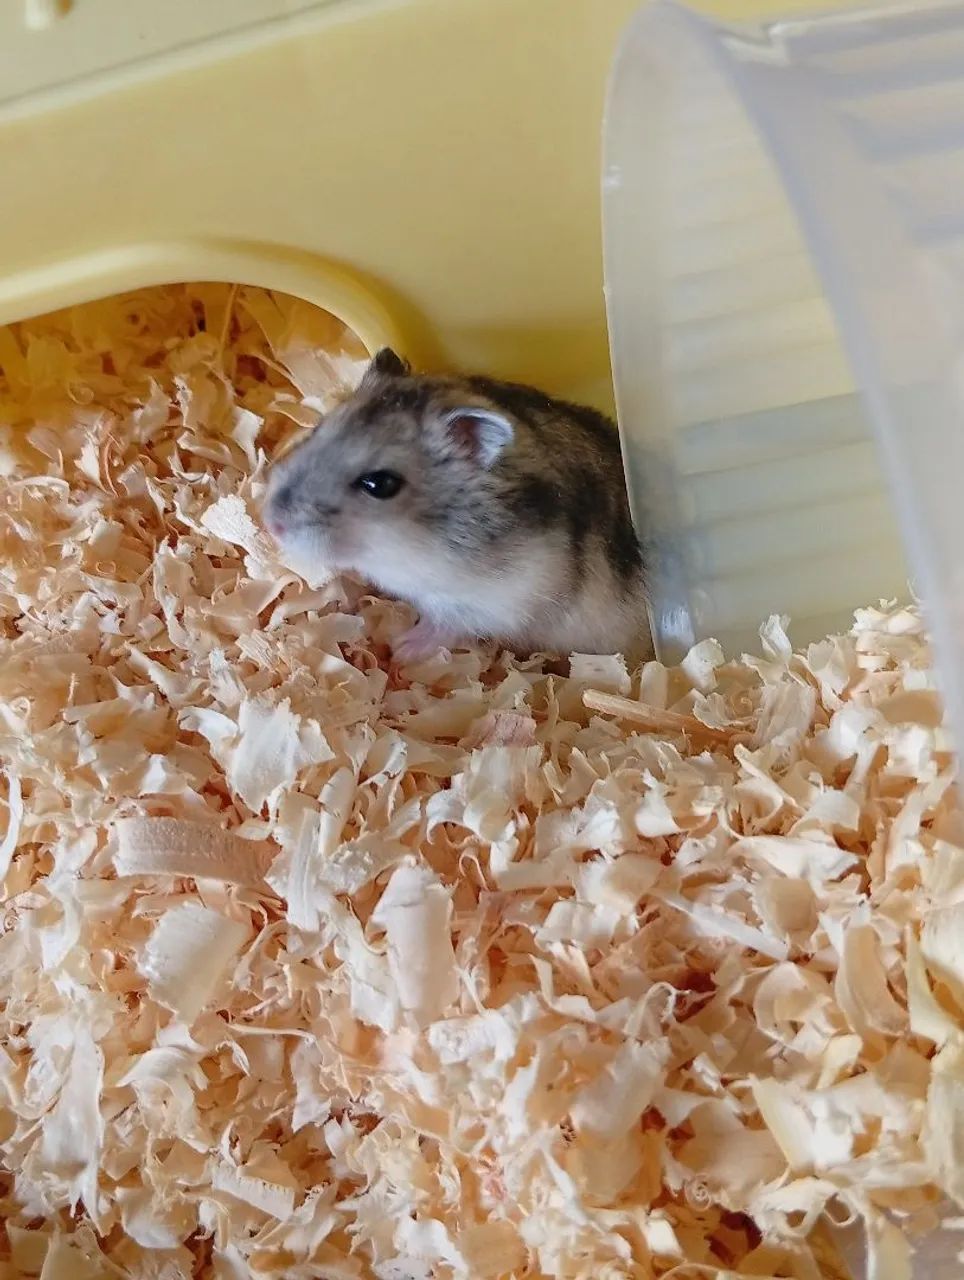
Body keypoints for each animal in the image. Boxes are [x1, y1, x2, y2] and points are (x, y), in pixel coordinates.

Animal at [262, 348, 649, 662]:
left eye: (380, 484)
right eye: (317, 429)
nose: (272, 523)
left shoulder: (493, 600)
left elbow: (446, 625)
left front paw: (399, 648)